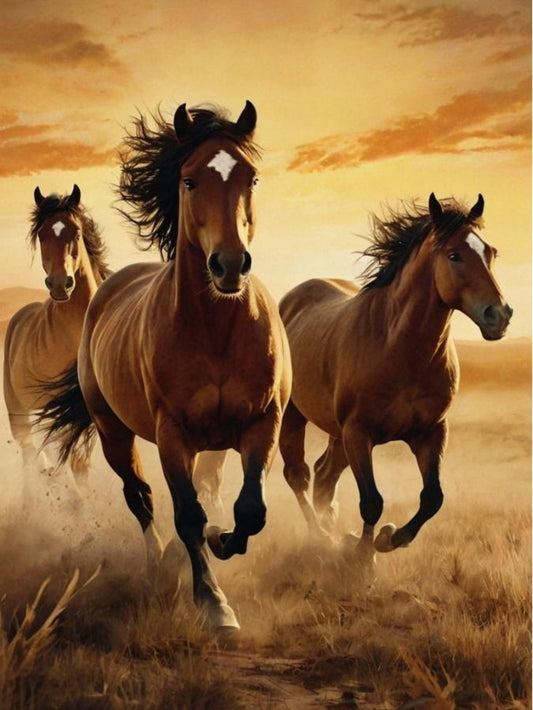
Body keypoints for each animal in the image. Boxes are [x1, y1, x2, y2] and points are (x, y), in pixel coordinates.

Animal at [3, 185, 110, 493]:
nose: (61, 284)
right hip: (18, 412)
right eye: (42, 234)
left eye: (76, 232)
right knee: (28, 453)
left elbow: (80, 462)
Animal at [38, 101, 291, 630]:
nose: (229, 265)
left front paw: (221, 541)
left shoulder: (263, 422)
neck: (217, 332)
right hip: (114, 433)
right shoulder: (172, 434)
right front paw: (214, 603)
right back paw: (157, 562)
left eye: (252, 178)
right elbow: (188, 514)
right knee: (141, 497)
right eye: (190, 180)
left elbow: (249, 510)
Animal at [278, 193, 512, 569]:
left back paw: (333, 531)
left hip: (337, 434)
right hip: (295, 417)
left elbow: (432, 498)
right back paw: (321, 537)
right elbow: (372, 501)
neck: (398, 349)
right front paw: (364, 557)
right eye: (454, 255)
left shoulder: (431, 432)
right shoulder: (359, 433)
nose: (500, 316)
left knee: (324, 475)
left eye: (491, 252)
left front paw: (390, 539)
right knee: (298, 474)